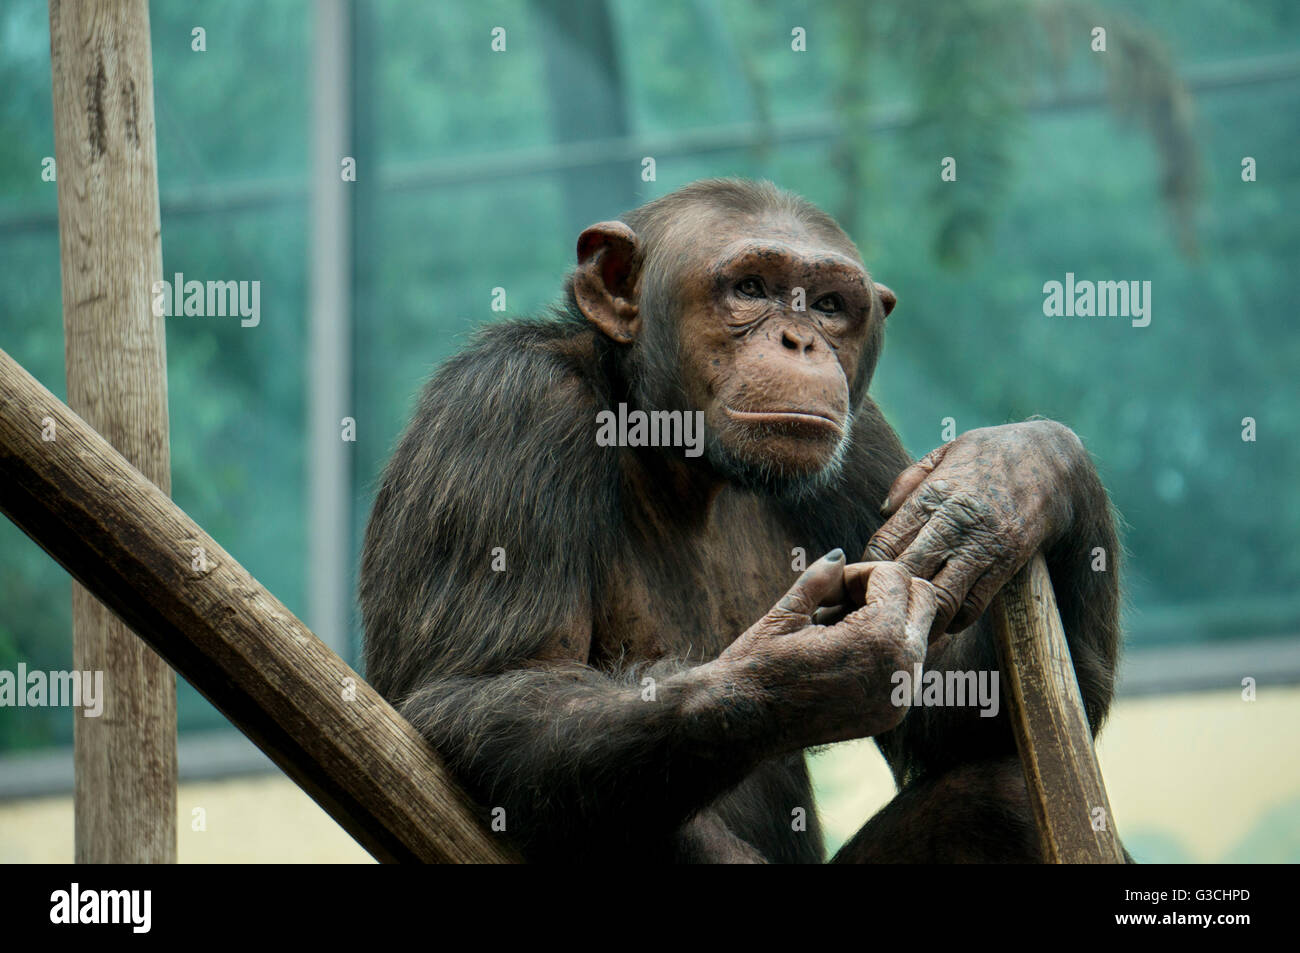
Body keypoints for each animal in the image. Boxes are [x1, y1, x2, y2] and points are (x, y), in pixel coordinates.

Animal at [361, 178, 1123, 863]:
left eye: (829, 304)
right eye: (752, 288)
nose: (799, 340)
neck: (674, 451)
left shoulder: (861, 443)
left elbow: (957, 717)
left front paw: (1014, 474)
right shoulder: (506, 406)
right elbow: (480, 690)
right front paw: (809, 671)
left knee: (999, 796)